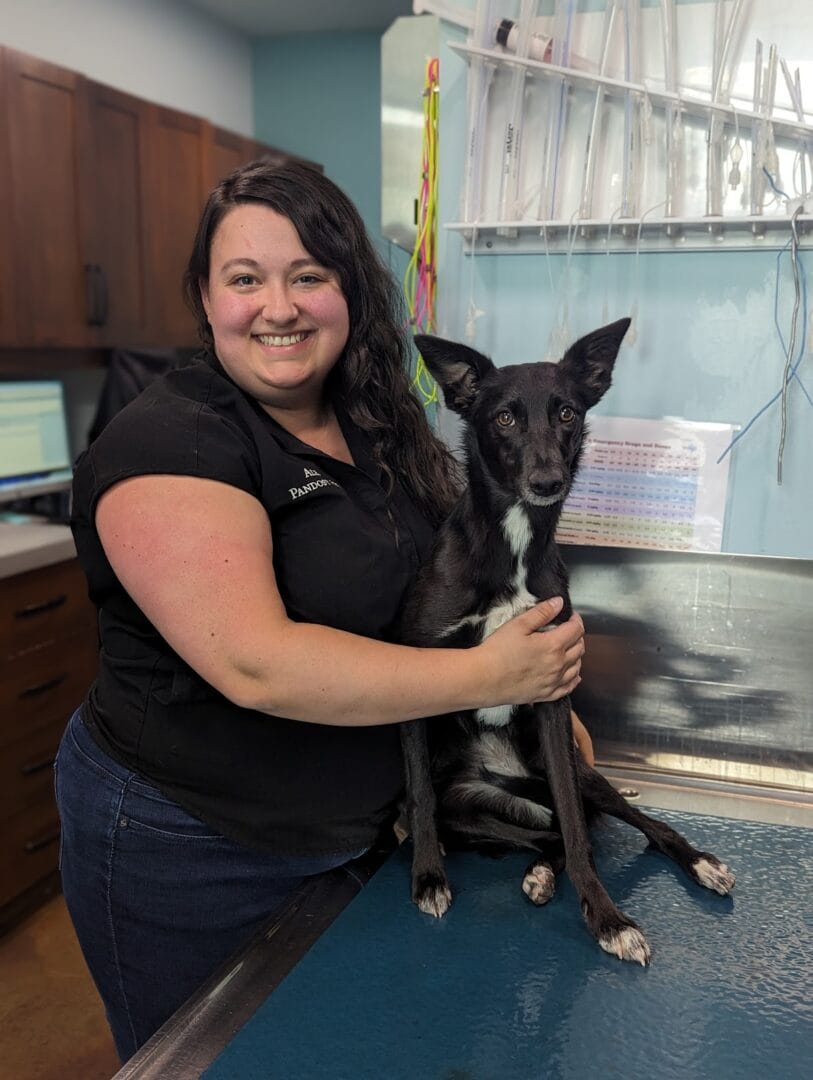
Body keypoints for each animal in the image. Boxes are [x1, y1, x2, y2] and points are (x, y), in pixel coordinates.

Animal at [399, 319, 734, 963]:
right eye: (504, 417)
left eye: (567, 413)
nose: (547, 481)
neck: (514, 544)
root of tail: (505, 774)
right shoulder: (416, 675)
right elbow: (421, 798)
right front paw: (428, 876)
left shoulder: (553, 696)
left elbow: (581, 836)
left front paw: (606, 918)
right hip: (471, 808)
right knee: (541, 834)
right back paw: (536, 873)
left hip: (578, 776)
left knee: (617, 826)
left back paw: (697, 862)